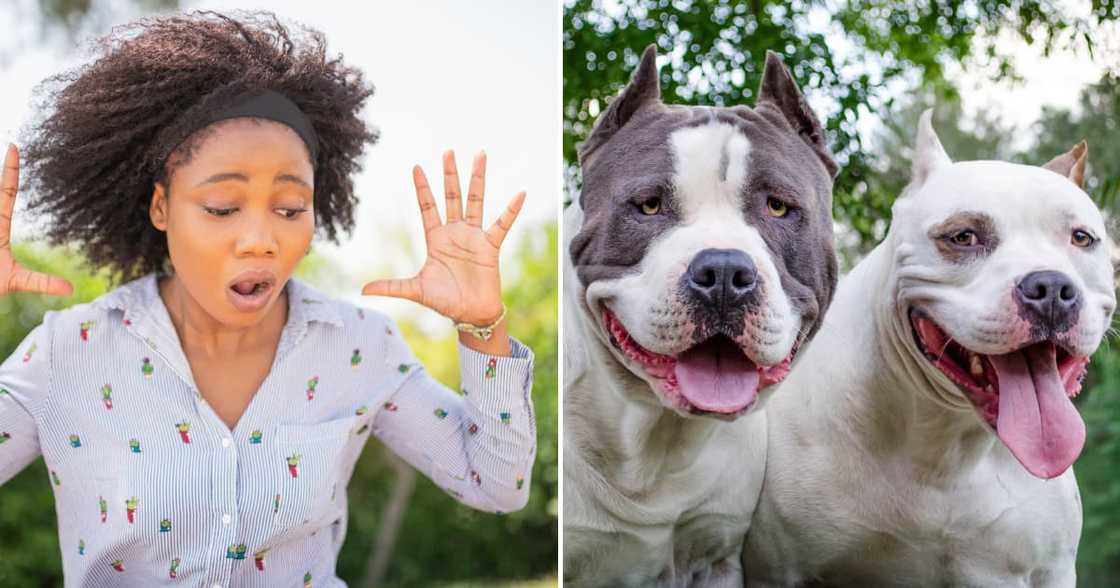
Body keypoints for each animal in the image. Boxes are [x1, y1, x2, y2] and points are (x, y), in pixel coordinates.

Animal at [739, 108, 1115, 582]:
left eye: (1081, 238)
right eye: (964, 236)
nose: (1051, 289)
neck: (941, 443)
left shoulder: (1049, 572)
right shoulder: (776, 569)